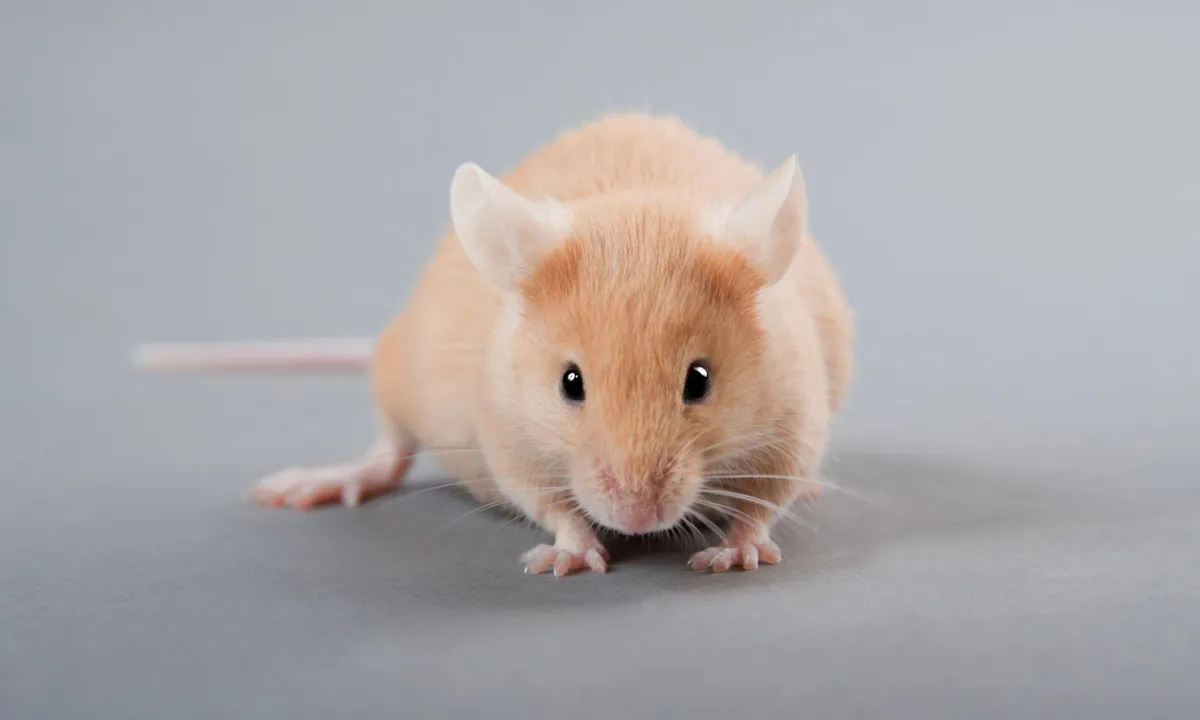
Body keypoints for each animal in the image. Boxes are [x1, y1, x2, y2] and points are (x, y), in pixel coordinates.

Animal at [135, 114, 853, 575]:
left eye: (699, 381)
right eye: (570, 383)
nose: (637, 518)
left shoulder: (796, 415)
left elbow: (769, 494)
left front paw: (735, 548)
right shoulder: (506, 437)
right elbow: (544, 499)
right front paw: (572, 552)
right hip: (400, 377)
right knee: (388, 452)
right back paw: (325, 479)